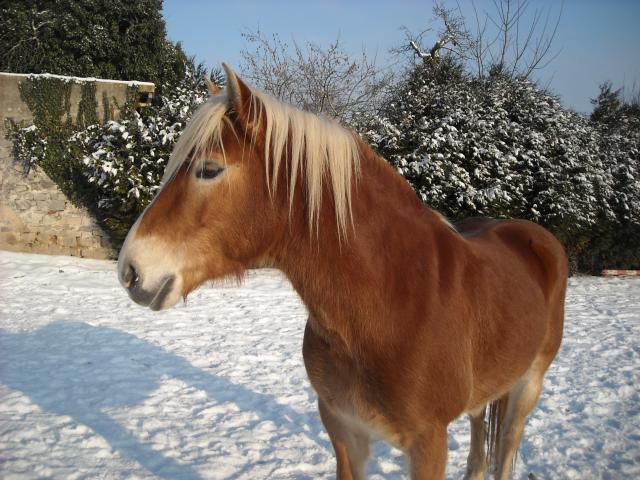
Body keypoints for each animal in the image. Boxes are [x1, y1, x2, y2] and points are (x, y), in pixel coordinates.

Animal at [117, 64, 568, 480]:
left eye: (209, 169)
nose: (129, 271)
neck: (391, 305)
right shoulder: (344, 431)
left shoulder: (428, 444)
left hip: (528, 386)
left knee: (506, 447)